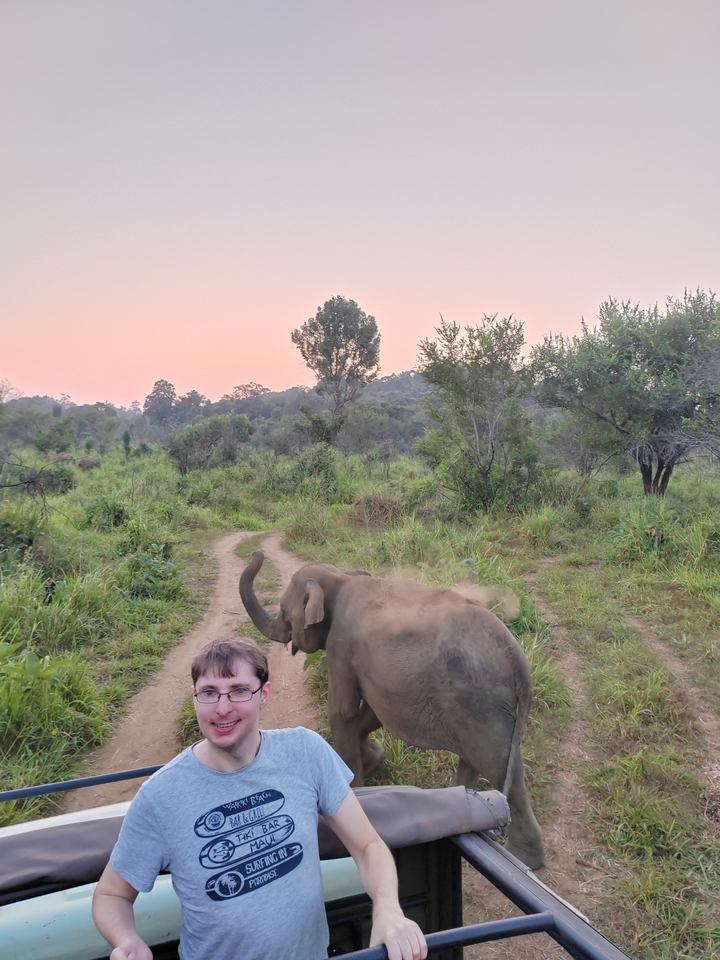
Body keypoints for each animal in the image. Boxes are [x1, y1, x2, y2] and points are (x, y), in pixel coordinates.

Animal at [240, 551, 545, 869]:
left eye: (284, 611)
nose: (258, 553)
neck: (341, 579)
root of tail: (518, 660)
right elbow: (372, 711)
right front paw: (373, 760)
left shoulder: (341, 645)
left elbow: (343, 711)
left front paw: (356, 791)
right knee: (482, 759)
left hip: (480, 702)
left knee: (498, 763)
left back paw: (522, 858)